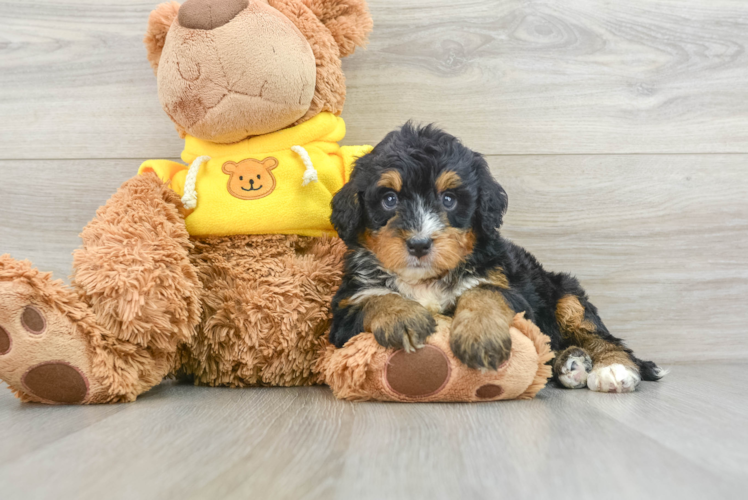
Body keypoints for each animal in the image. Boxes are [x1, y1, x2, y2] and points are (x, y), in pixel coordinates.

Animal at [328, 123, 668, 392]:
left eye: (449, 199)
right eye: (389, 199)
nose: (419, 244)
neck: (427, 279)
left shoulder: (511, 287)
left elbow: (484, 292)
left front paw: (481, 335)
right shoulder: (343, 314)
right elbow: (374, 298)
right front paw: (402, 316)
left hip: (566, 295)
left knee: (603, 338)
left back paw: (611, 368)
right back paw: (570, 363)